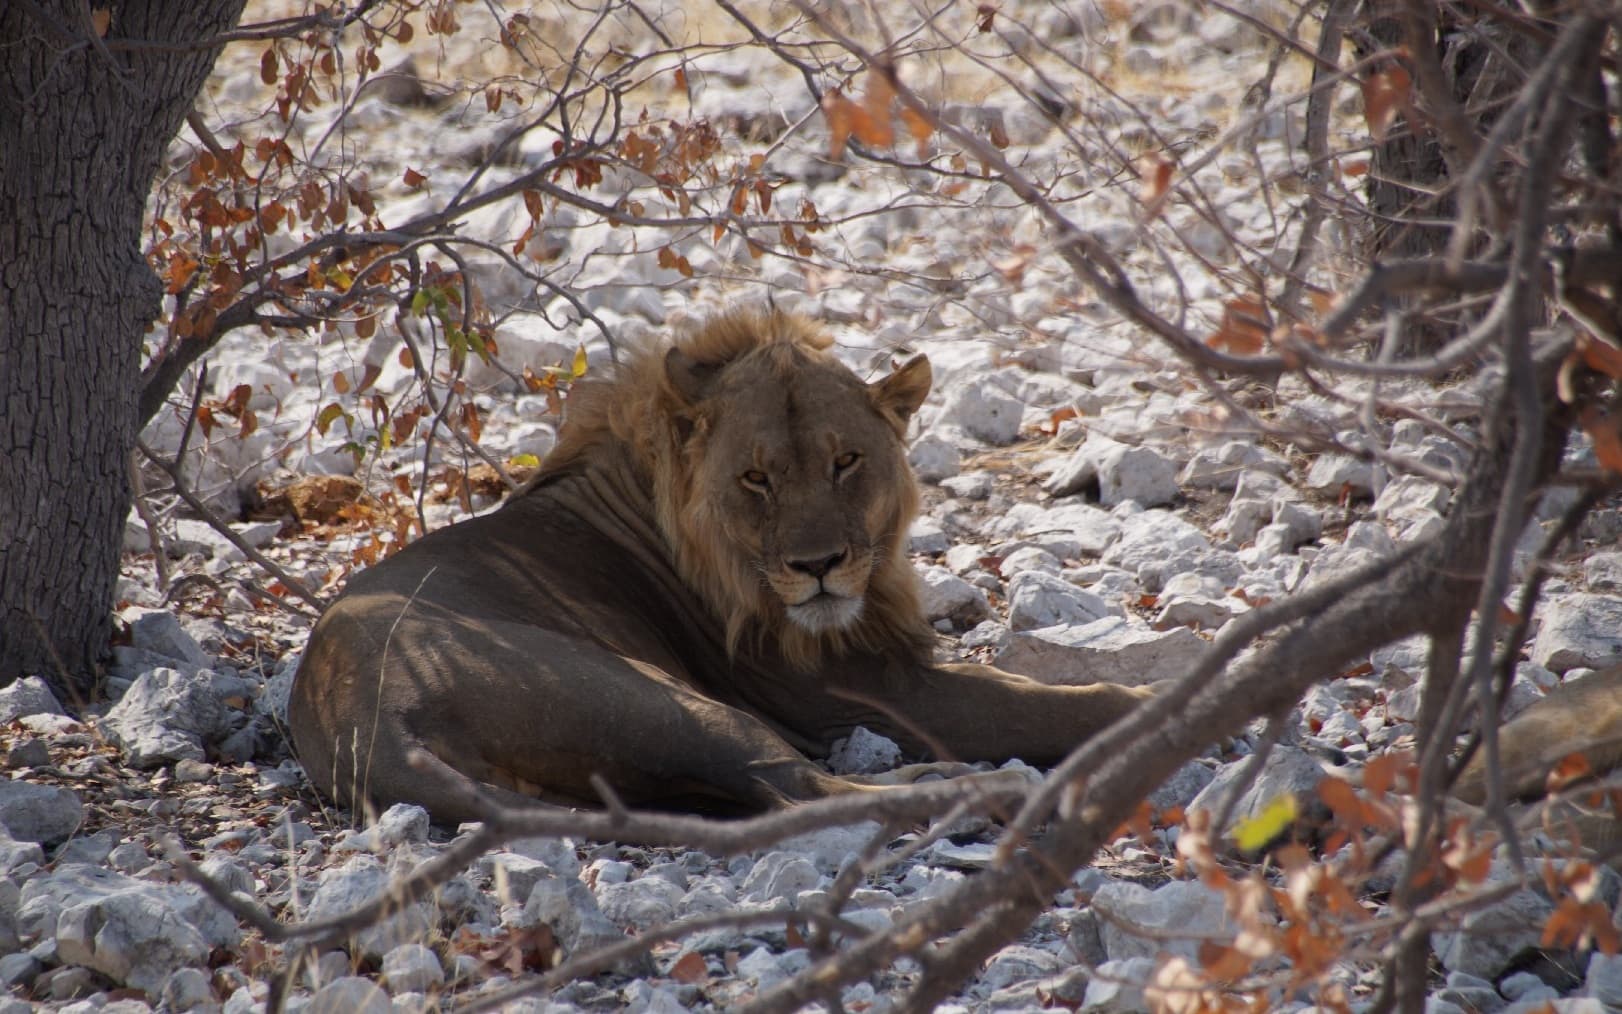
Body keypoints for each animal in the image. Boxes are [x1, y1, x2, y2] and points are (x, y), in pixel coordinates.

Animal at [291, 301, 1154, 824]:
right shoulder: (865, 691)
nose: (818, 565)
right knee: (801, 790)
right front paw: (1162, 696)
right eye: (756, 477)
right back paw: (983, 786)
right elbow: (1055, 702)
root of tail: (366, 722)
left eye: (845, 461)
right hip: (659, 698)